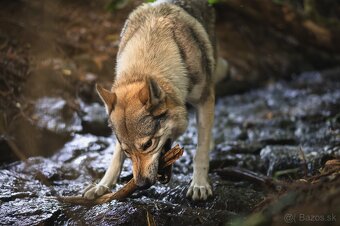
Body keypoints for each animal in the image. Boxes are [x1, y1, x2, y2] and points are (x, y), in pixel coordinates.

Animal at [81, 0, 228, 201]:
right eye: (128, 151)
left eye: (148, 145)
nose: (141, 184)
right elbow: (115, 157)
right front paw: (103, 185)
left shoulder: (204, 100)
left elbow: (201, 151)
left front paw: (199, 184)